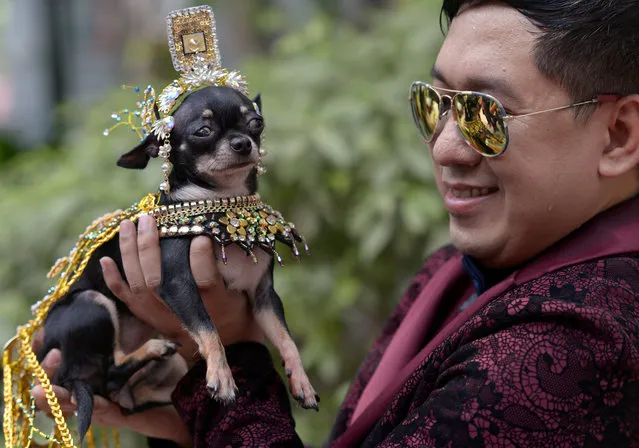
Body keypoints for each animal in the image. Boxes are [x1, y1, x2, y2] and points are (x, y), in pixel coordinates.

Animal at [38, 85, 318, 440]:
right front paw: (222, 377)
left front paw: (302, 381)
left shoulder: (264, 298)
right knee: (112, 369)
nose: (243, 142)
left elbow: (285, 339)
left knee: (127, 392)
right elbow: (208, 328)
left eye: (256, 122)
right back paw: (153, 348)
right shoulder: (177, 285)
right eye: (203, 131)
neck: (220, 206)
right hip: (92, 302)